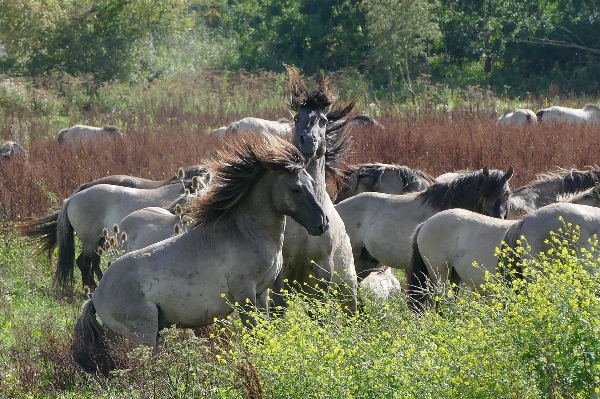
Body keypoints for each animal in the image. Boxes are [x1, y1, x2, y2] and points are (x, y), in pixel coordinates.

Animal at [19, 183, 188, 292]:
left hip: (99, 241)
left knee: (90, 262)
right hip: (91, 241)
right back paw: (90, 290)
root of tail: (72, 199)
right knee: (85, 262)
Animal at [72, 134, 330, 378]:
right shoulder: (244, 294)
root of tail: (95, 296)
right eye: (295, 188)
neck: (244, 233)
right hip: (144, 333)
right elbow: (253, 333)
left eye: (311, 183)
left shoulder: (261, 293)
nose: (322, 223)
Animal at [268, 65, 358, 316]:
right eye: (296, 117)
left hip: (348, 295)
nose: (308, 141)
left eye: (324, 120)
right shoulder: (282, 275)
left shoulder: (321, 273)